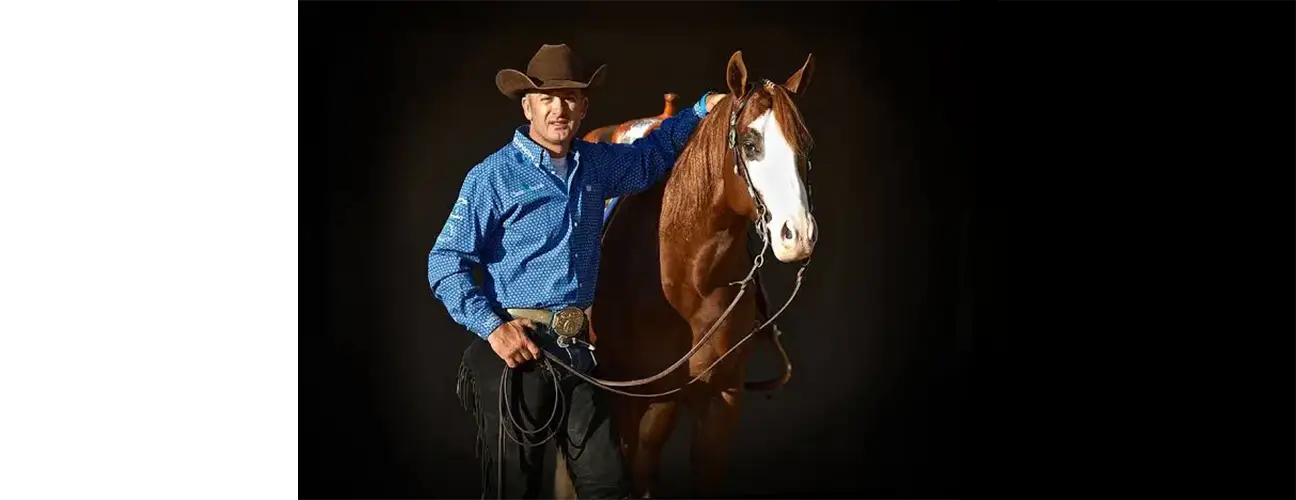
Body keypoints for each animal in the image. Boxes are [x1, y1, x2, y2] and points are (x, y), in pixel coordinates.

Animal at [552, 50, 818, 499]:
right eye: (750, 144)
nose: (797, 234)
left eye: (805, 145)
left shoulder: (720, 400)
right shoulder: (624, 403)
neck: (687, 279)